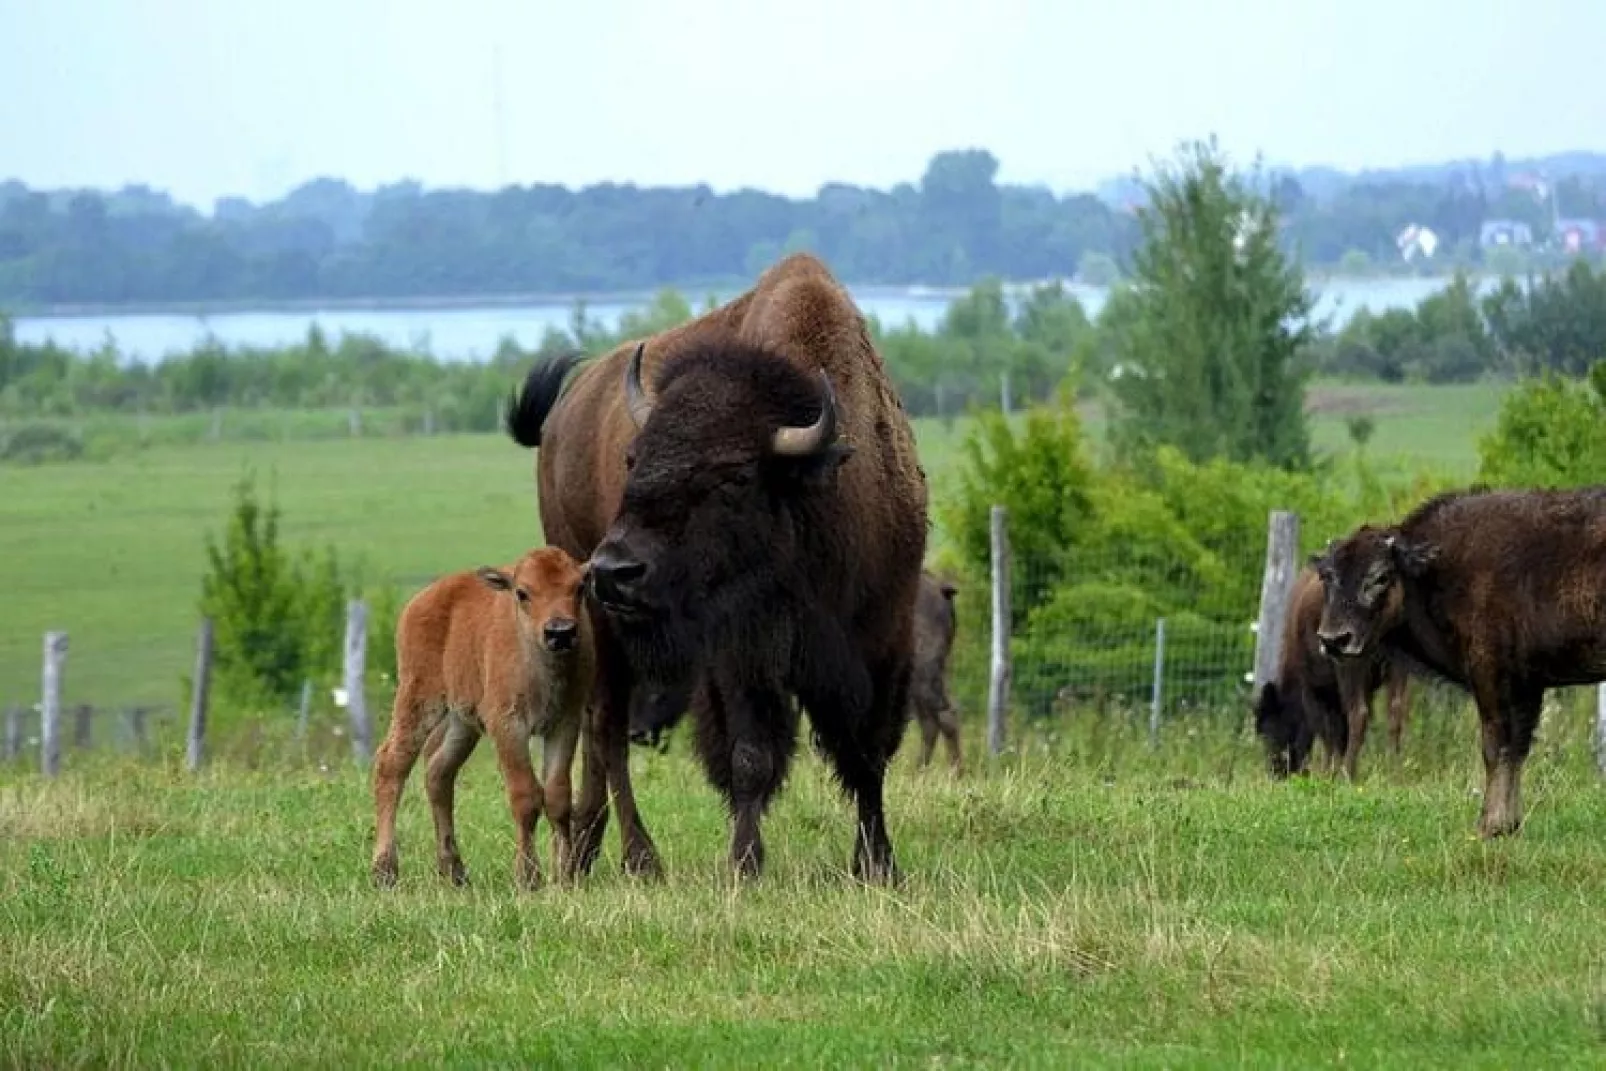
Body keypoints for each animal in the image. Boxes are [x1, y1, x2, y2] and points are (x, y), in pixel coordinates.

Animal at [369, 549, 597, 892]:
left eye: (580, 587)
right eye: (522, 593)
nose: (560, 632)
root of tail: (421, 601)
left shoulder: (564, 724)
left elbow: (558, 796)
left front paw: (566, 877)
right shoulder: (508, 726)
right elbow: (526, 796)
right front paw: (528, 878)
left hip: (462, 722)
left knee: (438, 771)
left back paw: (453, 870)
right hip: (419, 699)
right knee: (391, 764)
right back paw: (385, 870)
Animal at [501, 255, 931, 886]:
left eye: (735, 476)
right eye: (633, 457)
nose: (612, 569)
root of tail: (563, 416)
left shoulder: (884, 639)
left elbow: (868, 755)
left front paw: (878, 864)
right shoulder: (740, 657)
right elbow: (749, 756)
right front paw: (745, 863)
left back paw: (585, 849)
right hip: (598, 626)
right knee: (607, 729)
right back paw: (637, 856)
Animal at [1246, 565, 1413, 783]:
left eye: (1268, 733)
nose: (1277, 772)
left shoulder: (1313, 689)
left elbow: (1327, 730)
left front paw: (1327, 773)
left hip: (1350, 663)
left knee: (1358, 715)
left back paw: (1347, 774)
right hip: (1398, 667)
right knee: (1395, 712)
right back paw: (1393, 769)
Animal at [1310, 488, 1606, 847]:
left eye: (1380, 577)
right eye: (1326, 577)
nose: (1334, 639)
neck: (1439, 568)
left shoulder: (1491, 675)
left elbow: (1495, 746)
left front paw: (1489, 827)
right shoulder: (1527, 685)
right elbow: (1517, 749)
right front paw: (1509, 825)